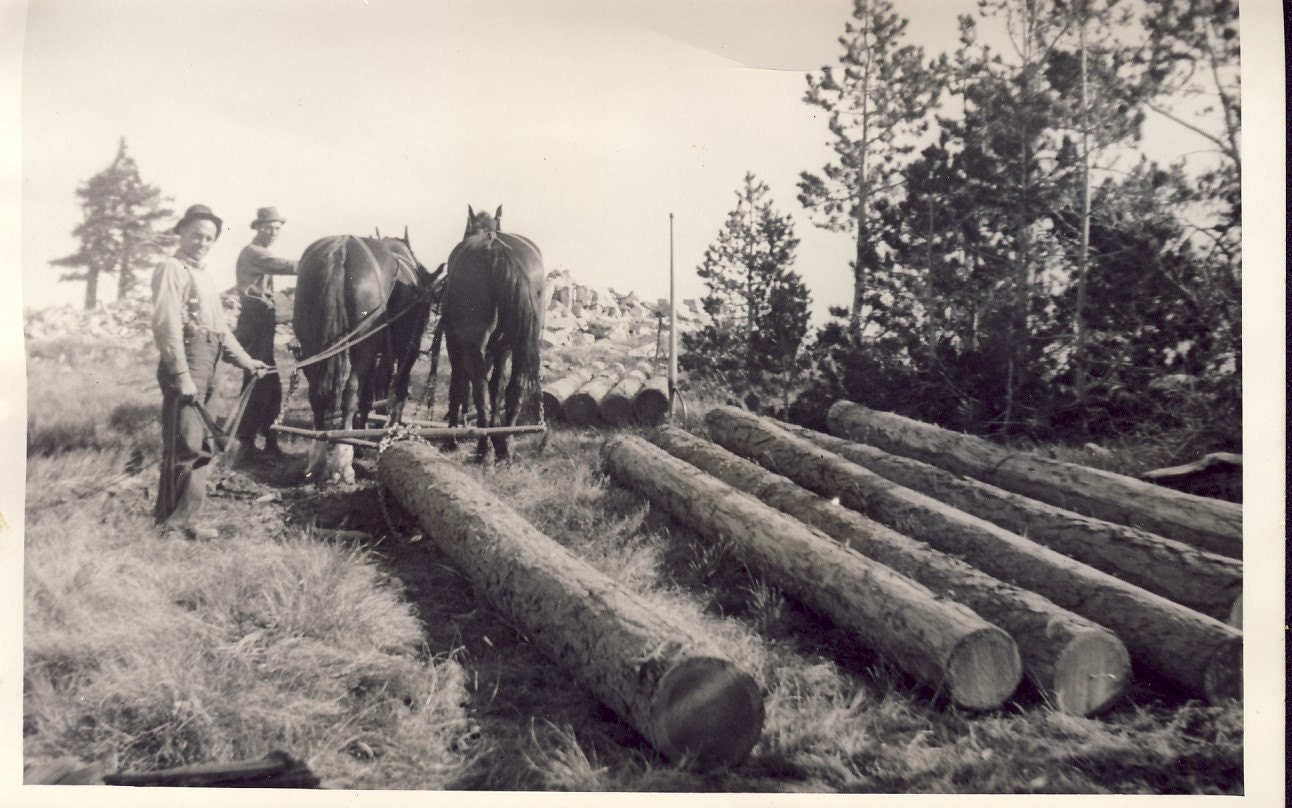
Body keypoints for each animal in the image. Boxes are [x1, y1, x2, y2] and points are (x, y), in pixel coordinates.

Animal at [291, 232, 441, 486]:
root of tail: (342, 247)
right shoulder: (404, 350)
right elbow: (395, 391)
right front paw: (386, 433)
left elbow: (369, 397)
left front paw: (362, 441)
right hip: (363, 346)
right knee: (350, 393)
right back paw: (343, 463)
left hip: (313, 346)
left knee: (317, 395)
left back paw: (318, 460)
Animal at [426, 204, 542, 460]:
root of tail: (495, 249)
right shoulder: (501, 349)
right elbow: (496, 388)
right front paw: (497, 438)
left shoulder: (455, 343)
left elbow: (459, 386)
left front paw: (452, 437)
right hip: (521, 342)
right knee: (514, 389)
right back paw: (505, 445)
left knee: (479, 389)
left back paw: (483, 448)